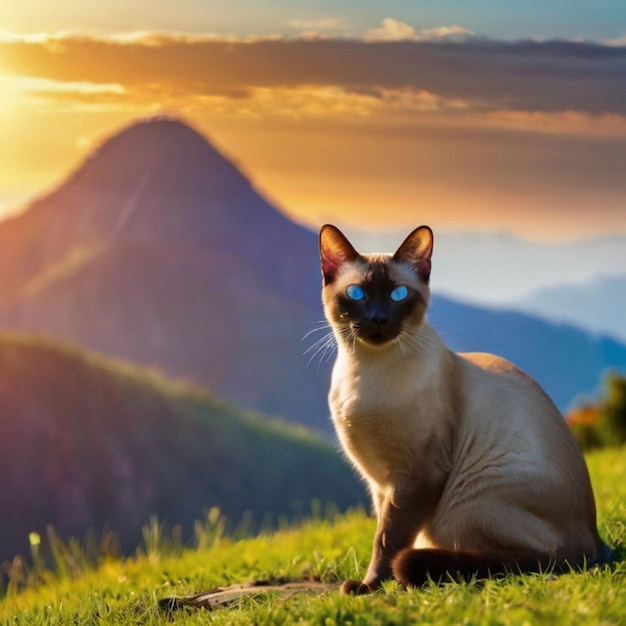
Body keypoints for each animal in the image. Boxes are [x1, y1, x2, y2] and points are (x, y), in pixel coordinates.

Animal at [316, 222, 608, 592]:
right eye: (357, 294)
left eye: (398, 295)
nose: (379, 319)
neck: (365, 372)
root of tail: (597, 543)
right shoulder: (380, 484)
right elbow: (383, 530)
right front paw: (373, 585)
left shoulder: (418, 476)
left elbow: (388, 539)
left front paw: (370, 587)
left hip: (469, 500)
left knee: (531, 561)